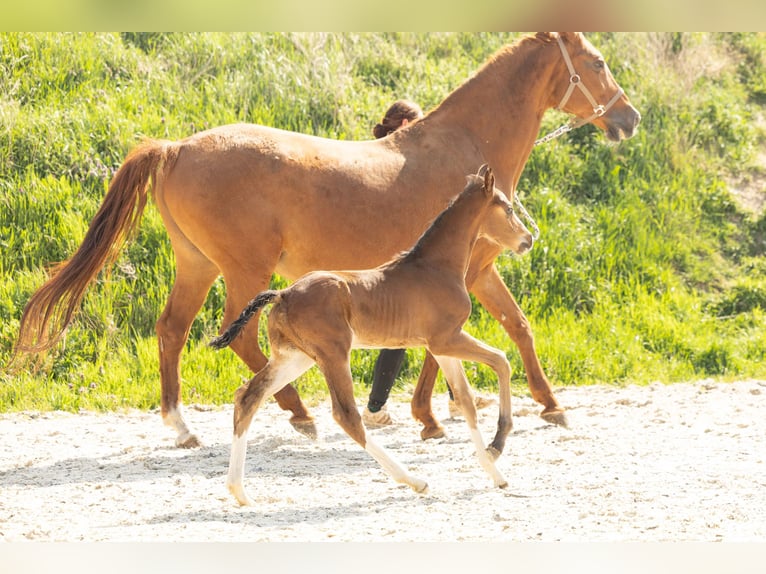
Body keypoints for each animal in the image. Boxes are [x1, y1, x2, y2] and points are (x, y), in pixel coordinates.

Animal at [14, 32, 640, 448]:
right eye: (598, 61)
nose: (630, 118)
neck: (464, 147)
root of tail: (174, 147)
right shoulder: (471, 269)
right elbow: (457, 340)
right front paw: (443, 414)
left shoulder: (477, 271)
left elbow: (516, 327)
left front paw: (538, 405)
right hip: (244, 270)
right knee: (237, 335)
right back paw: (298, 414)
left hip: (196, 264)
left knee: (172, 330)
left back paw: (183, 425)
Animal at [210, 166, 532, 505]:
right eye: (508, 209)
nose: (528, 239)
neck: (436, 267)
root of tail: (283, 294)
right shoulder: (447, 339)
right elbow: (502, 361)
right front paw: (497, 444)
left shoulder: (442, 347)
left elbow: (467, 401)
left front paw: (495, 471)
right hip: (333, 354)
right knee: (346, 416)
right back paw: (414, 480)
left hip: (294, 357)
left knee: (248, 397)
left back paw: (239, 492)